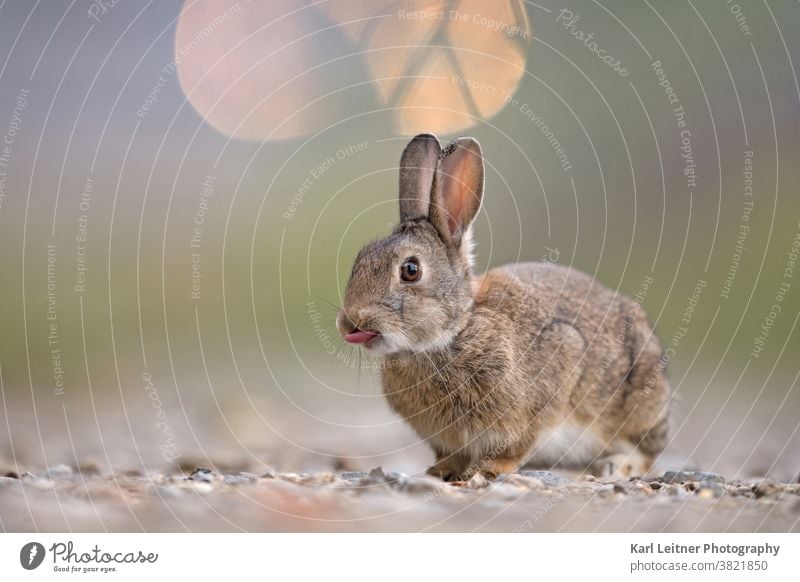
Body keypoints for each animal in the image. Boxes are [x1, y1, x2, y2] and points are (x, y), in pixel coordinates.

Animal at [334, 135, 672, 482]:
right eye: (360, 259)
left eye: (410, 270)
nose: (349, 323)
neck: (454, 331)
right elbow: (451, 456)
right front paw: (439, 471)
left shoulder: (533, 403)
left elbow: (515, 447)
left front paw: (486, 471)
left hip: (637, 400)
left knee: (645, 450)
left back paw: (617, 465)